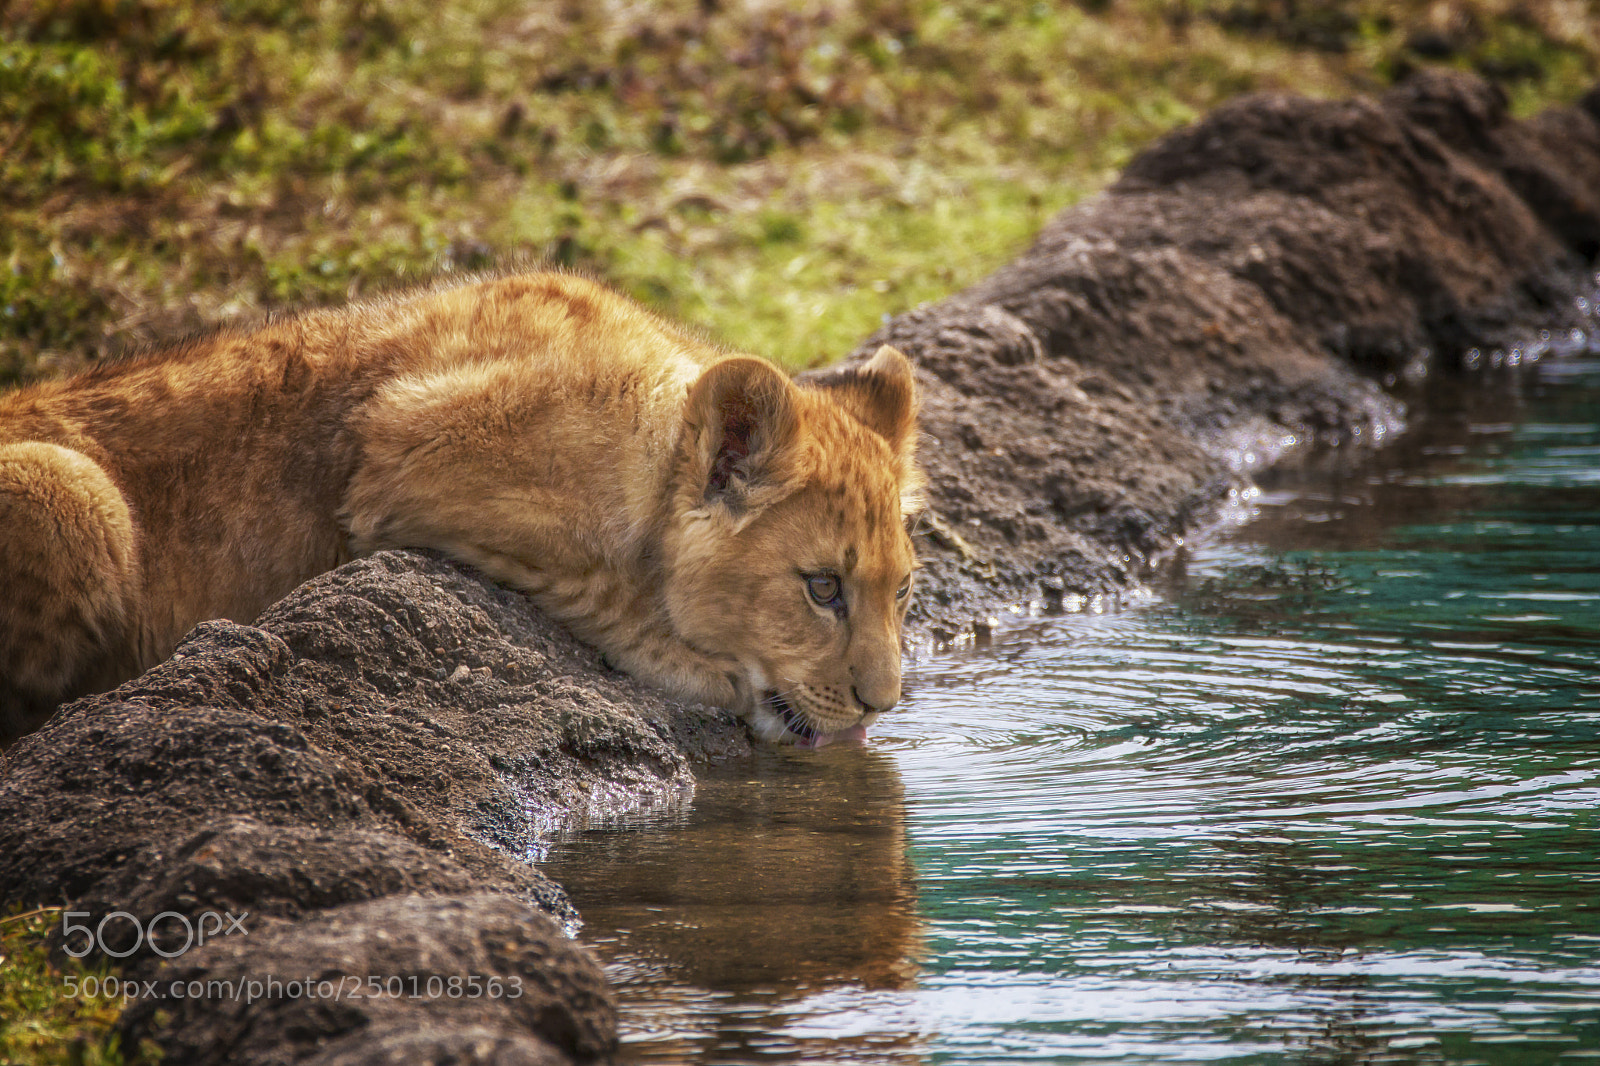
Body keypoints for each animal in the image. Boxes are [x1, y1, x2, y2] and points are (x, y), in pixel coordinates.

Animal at [0, 271, 923, 745]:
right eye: (822, 588)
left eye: (903, 590)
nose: (883, 705)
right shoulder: (404, 456)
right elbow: (608, 587)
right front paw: (703, 667)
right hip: (66, 487)